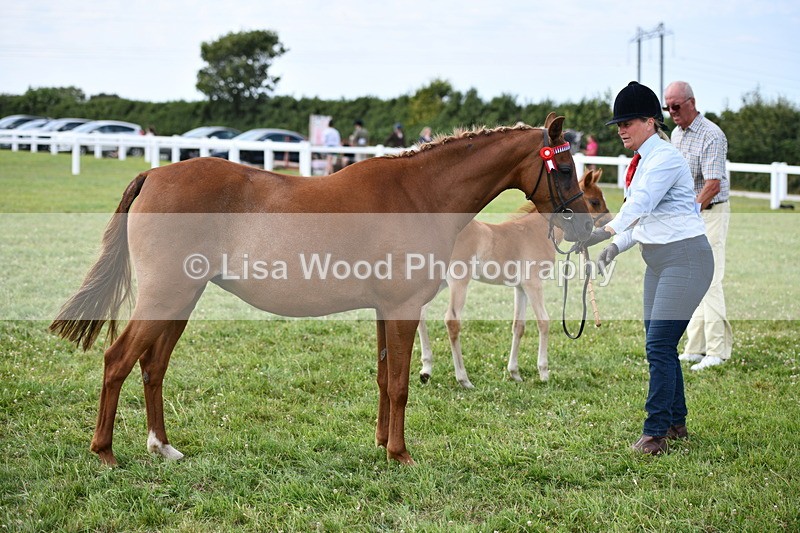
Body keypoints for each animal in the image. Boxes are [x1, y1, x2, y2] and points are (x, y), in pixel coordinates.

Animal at [418, 168, 611, 389]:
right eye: (594, 201)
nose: (608, 222)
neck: (535, 232)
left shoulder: (520, 288)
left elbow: (518, 326)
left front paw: (514, 373)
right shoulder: (533, 284)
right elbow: (543, 321)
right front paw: (544, 372)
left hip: (439, 282)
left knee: (421, 311)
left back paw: (426, 369)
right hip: (458, 282)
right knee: (451, 321)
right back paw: (463, 379)